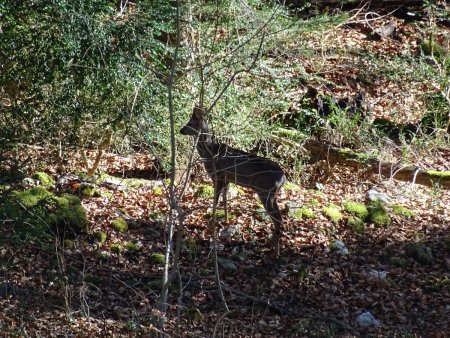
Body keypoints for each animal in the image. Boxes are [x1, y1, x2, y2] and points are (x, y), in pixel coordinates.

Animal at [179, 107, 284, 255]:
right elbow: (225, 200)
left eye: (191, 123)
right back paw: (272, 245)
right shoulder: (227, 179)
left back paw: (275, 250)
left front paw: (210, 226)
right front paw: (227, 220)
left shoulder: (218, 176)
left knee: (278, 217)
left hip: (265, 191)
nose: (181, 130)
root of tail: (283, 177)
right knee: (279, 217)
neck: (210, 152)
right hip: (271, 193)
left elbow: (215, 201)